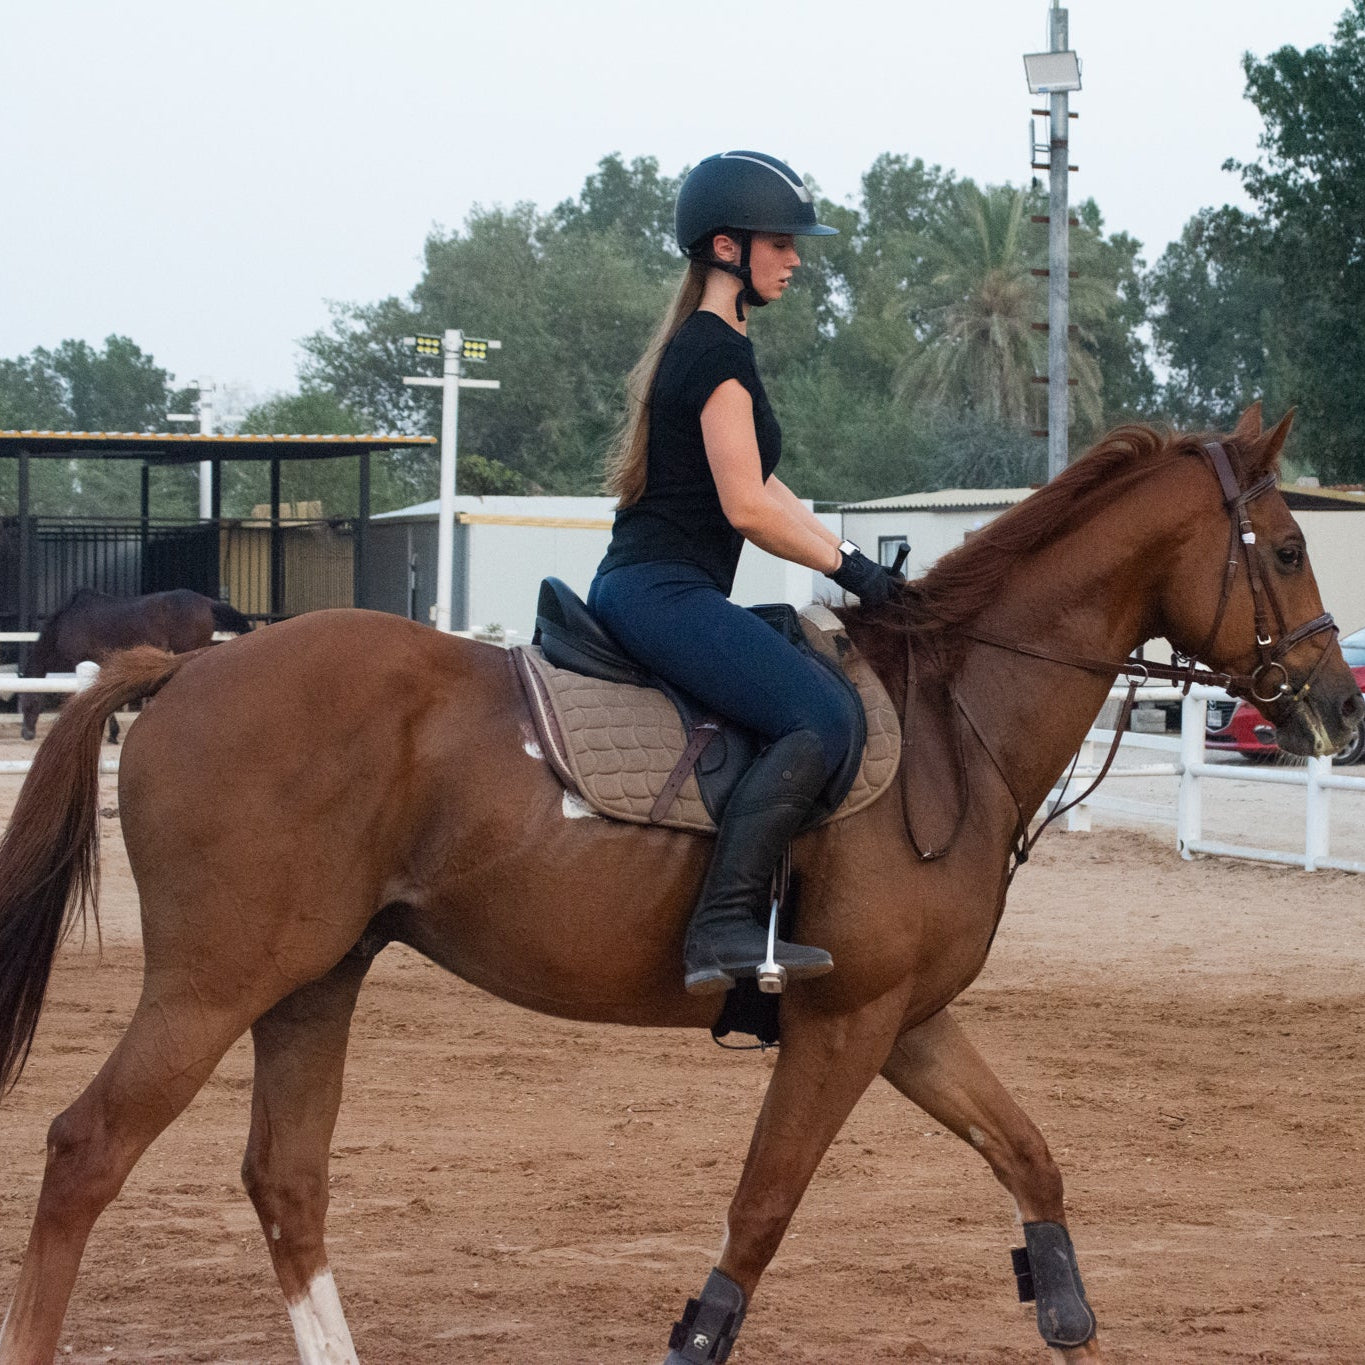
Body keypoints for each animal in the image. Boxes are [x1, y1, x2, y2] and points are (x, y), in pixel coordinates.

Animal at [18, 584, 253, 742]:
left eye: (28, 701)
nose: (26, 733)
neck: (66, 623)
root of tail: (207, 601)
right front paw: (113, 733)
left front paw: (112, 734)